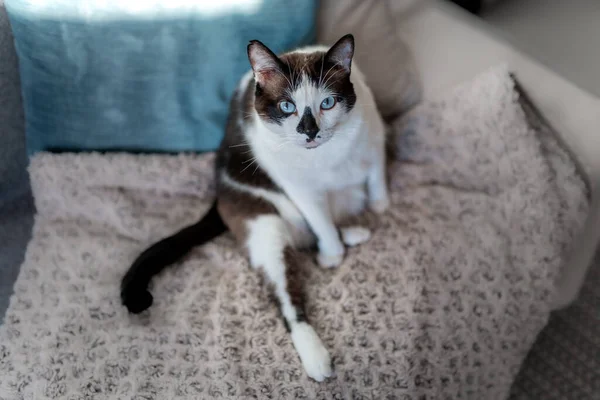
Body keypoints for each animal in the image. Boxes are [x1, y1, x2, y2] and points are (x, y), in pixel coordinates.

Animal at [122, 35, 390, 382]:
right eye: (287, 107)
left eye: (328, 103)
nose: (309, 132)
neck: (329, 159)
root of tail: (218, 191)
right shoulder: (301, 189)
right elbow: (321, 223)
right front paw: (333, 254)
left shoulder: (375, 142)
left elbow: (376, 178)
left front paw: (381, 205)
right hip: (267, 228)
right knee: (289, 299)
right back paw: (317, 360)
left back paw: (355, 232)